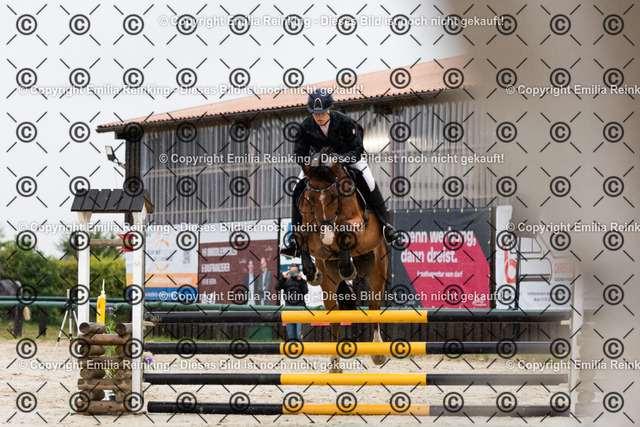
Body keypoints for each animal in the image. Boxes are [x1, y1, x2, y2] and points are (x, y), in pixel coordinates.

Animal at [293, 150, 389, 373]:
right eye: (309, 199)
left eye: (335, 196)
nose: (327, 233)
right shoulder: (310, 230)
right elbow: (301, 237)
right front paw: (312, 274)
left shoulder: (357, 225)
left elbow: (346, 234)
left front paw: (348, 269)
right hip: (330, 284)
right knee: (334, 314)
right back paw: (335, 363)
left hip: (377, 272)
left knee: (374, 306)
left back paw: (378, 354)